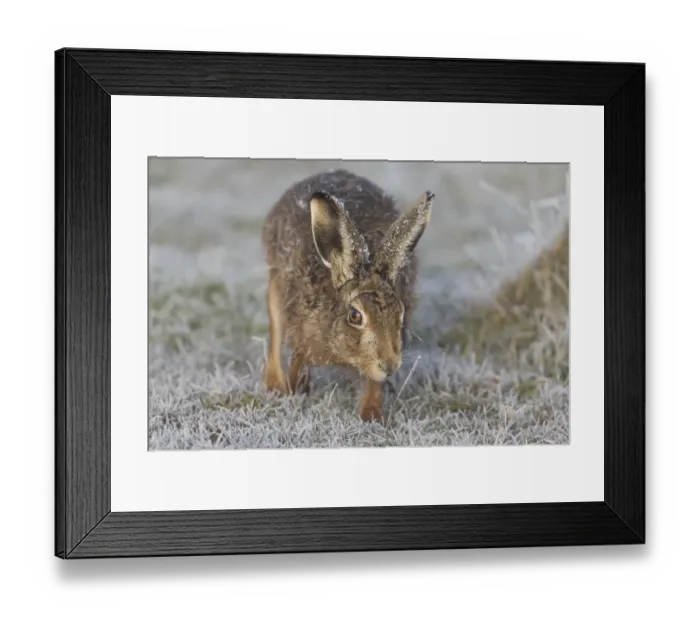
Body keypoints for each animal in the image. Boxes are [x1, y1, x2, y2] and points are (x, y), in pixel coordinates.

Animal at [261, 168, 434, 423]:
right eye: (355, 316)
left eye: (401, 313)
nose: (390, 365)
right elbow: (297, 354)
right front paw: (294, 388)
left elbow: (373, 382)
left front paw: (371, 415)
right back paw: (276, 386)